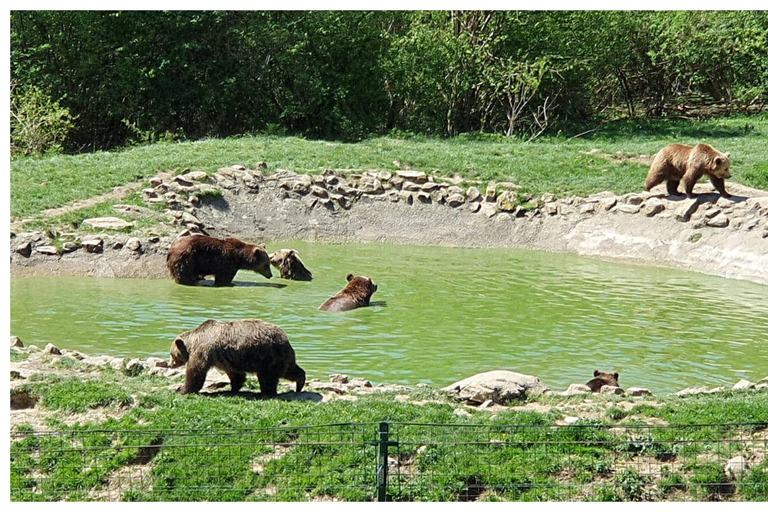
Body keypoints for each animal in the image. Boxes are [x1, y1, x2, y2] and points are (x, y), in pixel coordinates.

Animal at [170, 320, 306, 396]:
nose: (171, 364)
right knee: (290, 370)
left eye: (171, 353)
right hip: (282, 357)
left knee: (268, 377)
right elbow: (236, 374)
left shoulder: (204, 351)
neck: (193, 342)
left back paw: (266, 393)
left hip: (268, 356)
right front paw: (233, 388)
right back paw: (299, 384)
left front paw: (182, 389)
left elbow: (196, 372)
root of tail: (286, 339)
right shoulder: (227, 358)